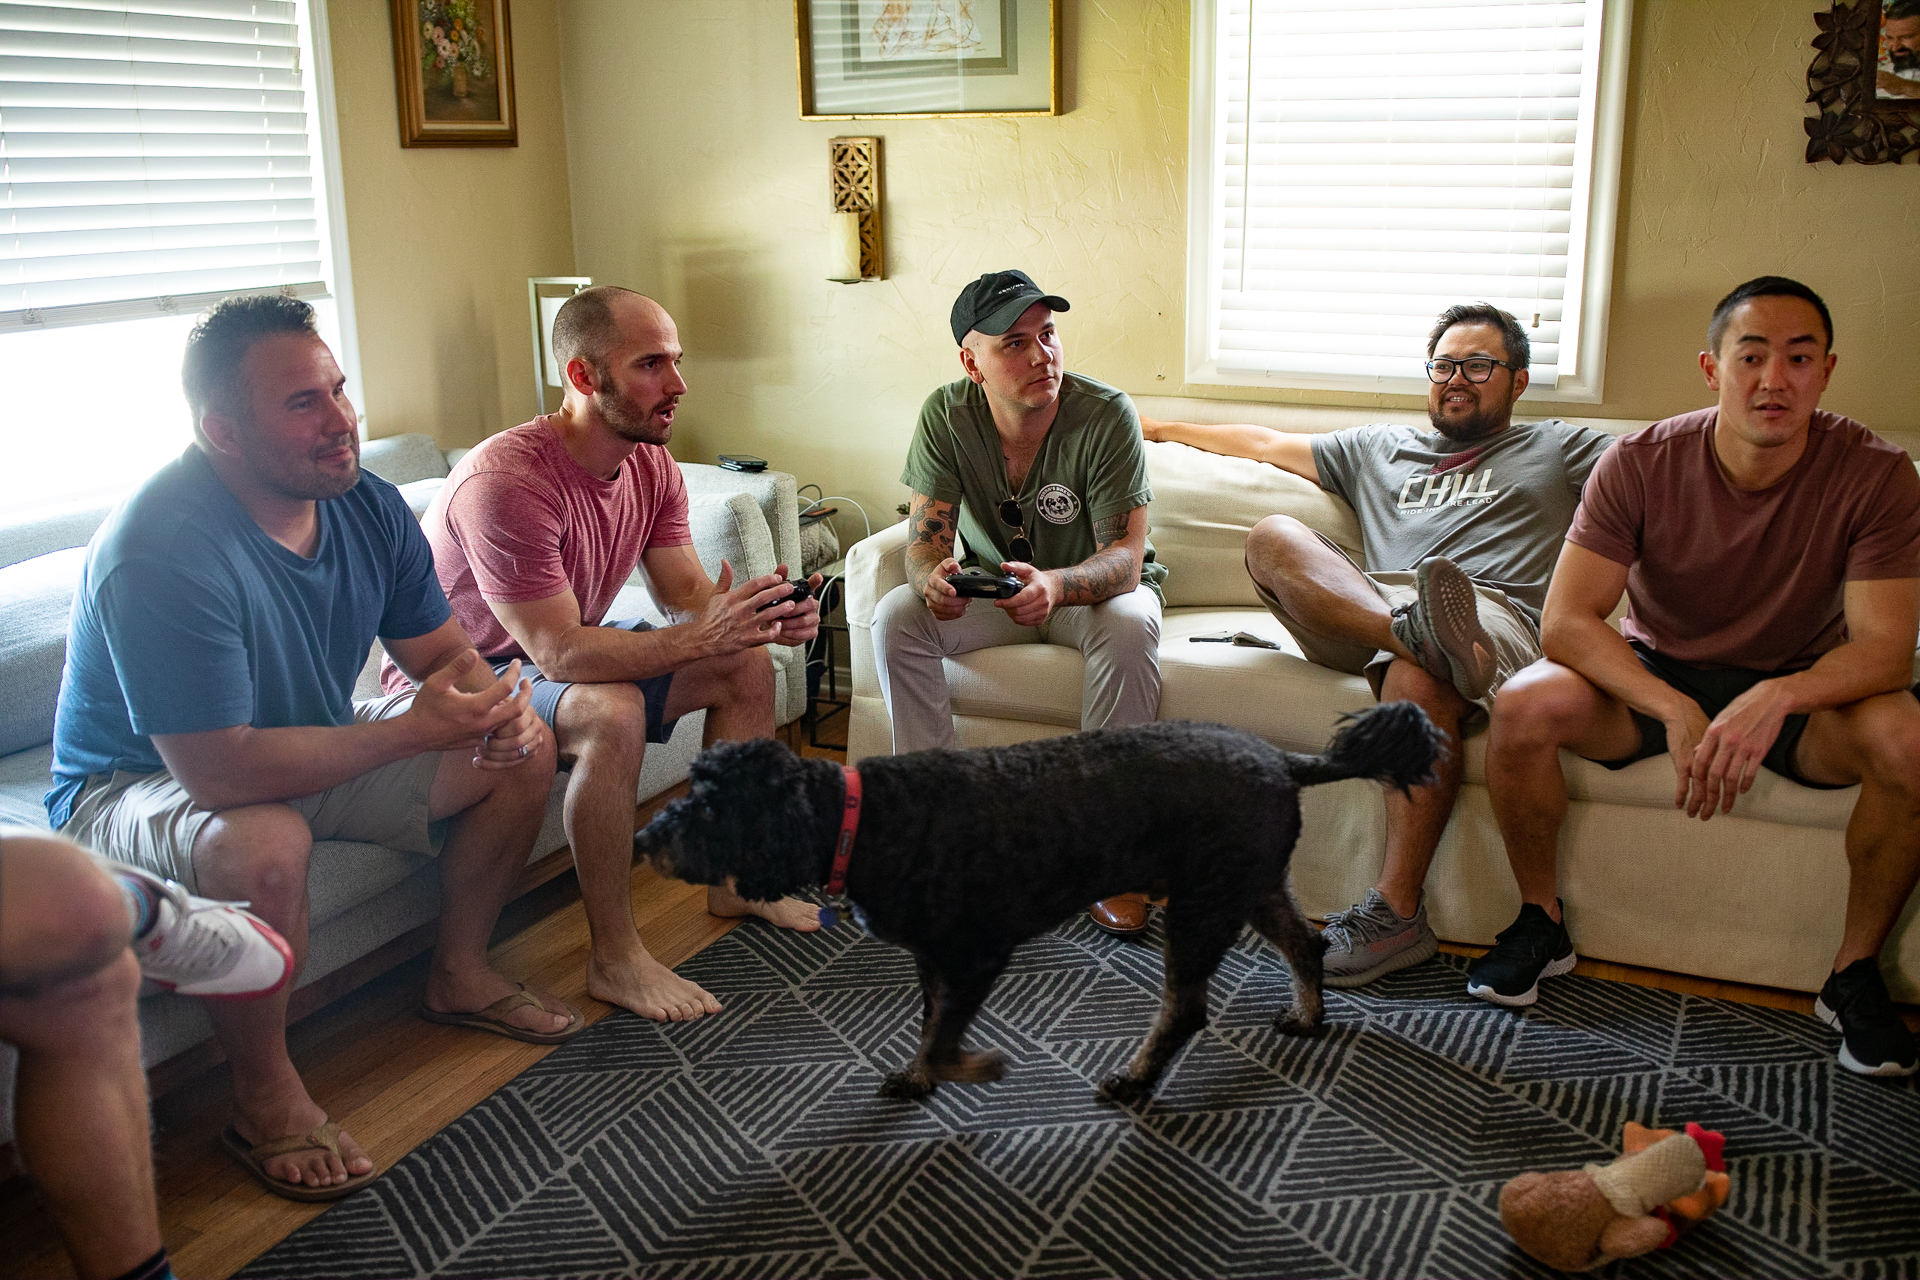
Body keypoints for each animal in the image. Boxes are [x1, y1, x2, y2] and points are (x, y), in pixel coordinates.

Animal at [637, 706, 1436, 1105]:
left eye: (708, 806)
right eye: (693, 784)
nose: (643, 838)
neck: (862, 819)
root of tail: (1283, 760)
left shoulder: (979, 955)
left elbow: (947, 1037)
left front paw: (973, 1069)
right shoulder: (934, 959)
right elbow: (929, 1026)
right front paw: (921, 1076)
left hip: (1203, 904)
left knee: (1185, 1010)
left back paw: (1136, 1078)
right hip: (1250, 884)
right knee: (1307, 944)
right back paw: (1307, 1015)